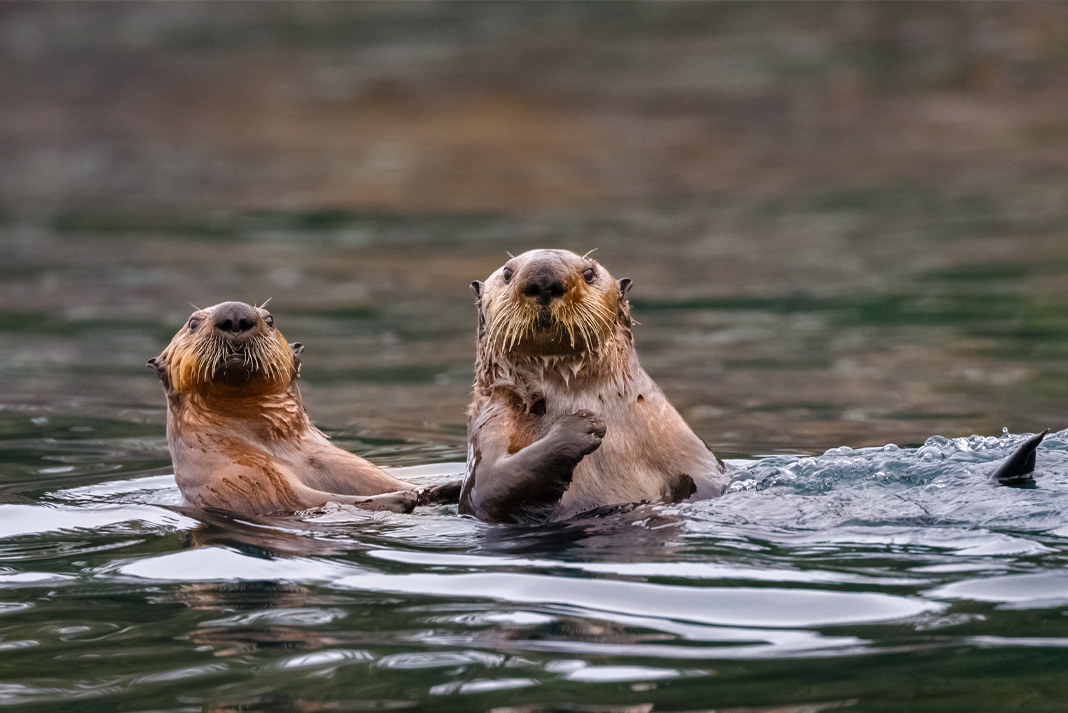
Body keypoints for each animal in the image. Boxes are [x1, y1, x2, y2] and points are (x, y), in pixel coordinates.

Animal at [149, 301, 459, 516]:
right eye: (192, 323)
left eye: (270, 319)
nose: (235, 315)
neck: (279, 451)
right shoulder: (238, 479)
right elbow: (301, 499)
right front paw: (403, 498)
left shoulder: (344, 463)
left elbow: (389, 481)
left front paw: (442, 488)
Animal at [459, 249, 731, 524]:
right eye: (507, 273)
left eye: (589, 272)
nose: (544, 279)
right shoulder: (489, 424)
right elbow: (489, 486)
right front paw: (582, 425)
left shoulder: (687, 452)